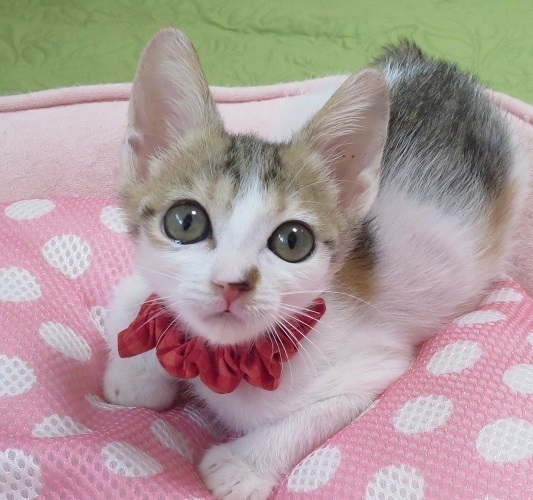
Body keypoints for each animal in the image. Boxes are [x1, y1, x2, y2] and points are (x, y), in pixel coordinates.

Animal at [102, 28, 527, 499]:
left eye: (293, 241)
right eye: (186, 221)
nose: (231, 283)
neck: (223, 358)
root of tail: (429, 65)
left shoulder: (374, 366)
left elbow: (313, 416)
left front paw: (238, 467)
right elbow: (133, 295)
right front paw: (133, 378)